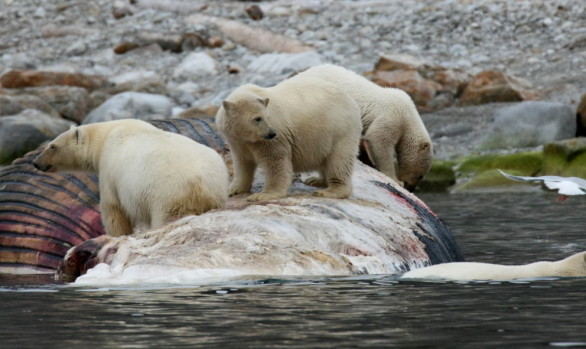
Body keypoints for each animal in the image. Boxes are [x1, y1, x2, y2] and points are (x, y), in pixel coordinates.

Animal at [31, 118, 228, 235]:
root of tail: (202, 184)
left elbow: (113, 209)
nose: (36, 163)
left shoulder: (109, 170)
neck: (107, 134)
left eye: (52, 146)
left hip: (169, 194)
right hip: (217, 190)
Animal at [214, 76, 360, 201]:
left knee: (339, 160)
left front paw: (263, 195)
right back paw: (315, 180)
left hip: (340, 129)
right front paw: (233, 190)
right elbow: (242, 163)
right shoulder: (238, 142)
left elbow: (275, 161)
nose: (272, 133)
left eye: (268, 117)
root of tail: (350, 100)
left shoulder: (272, 139)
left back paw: (329, 191)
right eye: (257, 118)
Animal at [296, 64, 428, 192]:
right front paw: (395, 179)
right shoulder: (393, 115)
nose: (411, 188)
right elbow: (379, 139)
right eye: (421, 176)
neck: (410, 116)